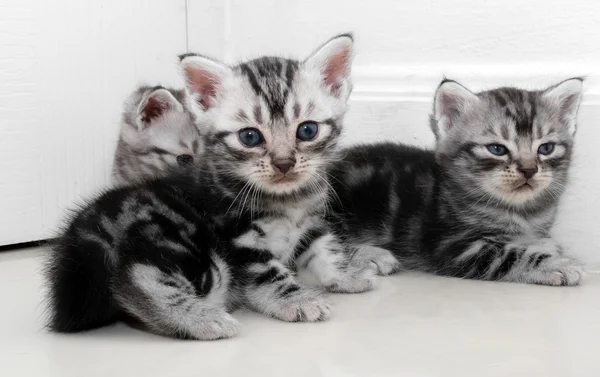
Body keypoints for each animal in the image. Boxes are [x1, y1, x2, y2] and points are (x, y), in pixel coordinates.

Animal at [45, 33, 376, 340]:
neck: (287, 201)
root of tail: (85, 236)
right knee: (137, 278)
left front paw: (346, 276)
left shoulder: (311, 222)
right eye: (250, 137)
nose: (284, 164)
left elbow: (325, 249)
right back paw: (201, 319)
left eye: (307, 130)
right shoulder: (241, 239)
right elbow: (269, 275)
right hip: (185, 247)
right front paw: (296, 300)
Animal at [330, 78, 584, 284]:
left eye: (546, 148)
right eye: (497, 149)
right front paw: (557, 264)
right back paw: (372, 255)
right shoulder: (452, 245)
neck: (518, 212)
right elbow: (511, 255)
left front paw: (546, 245)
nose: (529, 170)